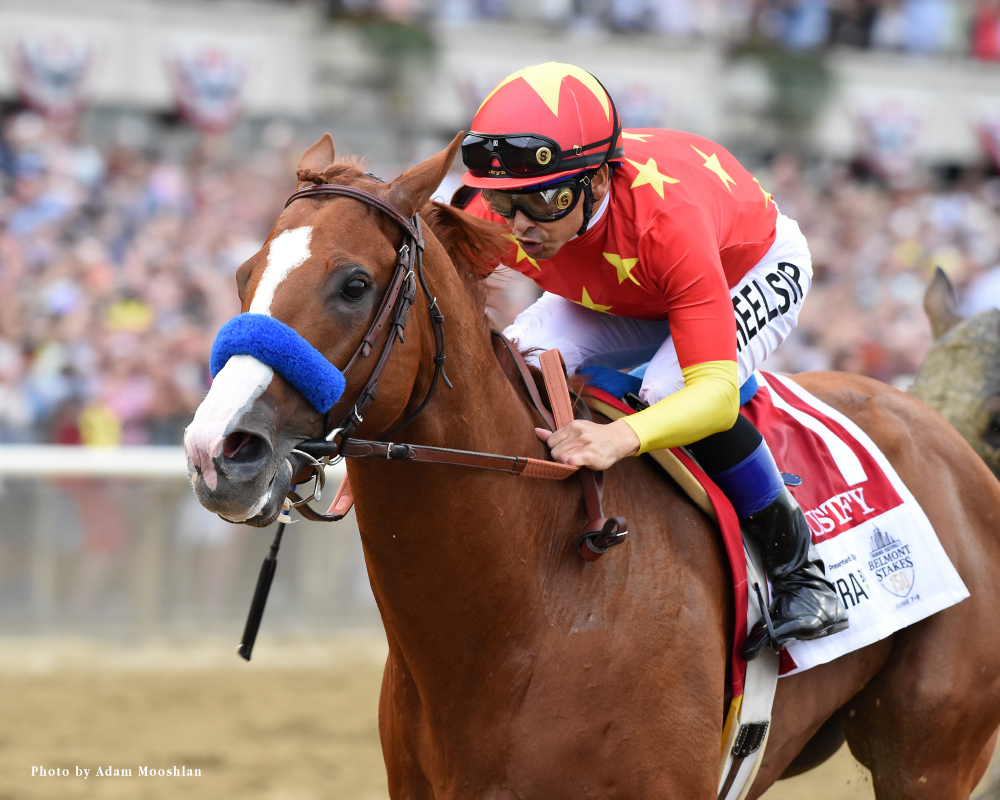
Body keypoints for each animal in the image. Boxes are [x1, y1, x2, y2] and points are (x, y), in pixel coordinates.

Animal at [186, 134, 1000, 796]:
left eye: (354, 283)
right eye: (244, 274)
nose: (217, 449)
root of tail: (941, 427)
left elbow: (705, 391)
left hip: (928, 756)